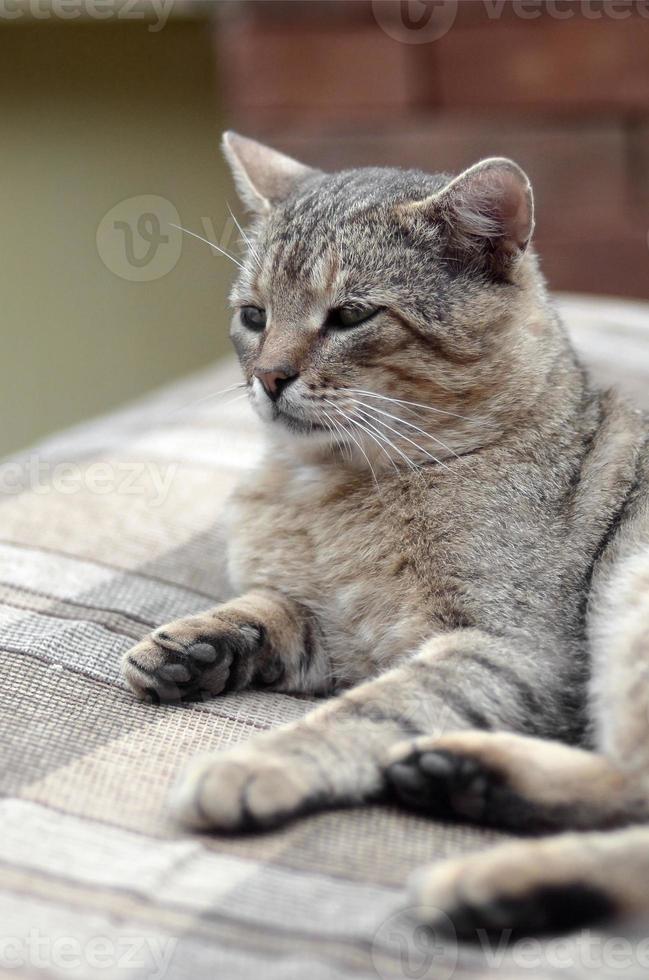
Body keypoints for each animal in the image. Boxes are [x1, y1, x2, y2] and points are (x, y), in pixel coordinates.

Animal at [121, 134, 648, 936]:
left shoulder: (514, 650)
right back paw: (463, 780)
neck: (330, 487)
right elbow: (275, 608)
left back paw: (487, 877)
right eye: (254, 316)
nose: (267, 377)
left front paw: (258, 764)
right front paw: (199, 644)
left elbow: (371, 709)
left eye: (350, 315)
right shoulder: (347, 634)